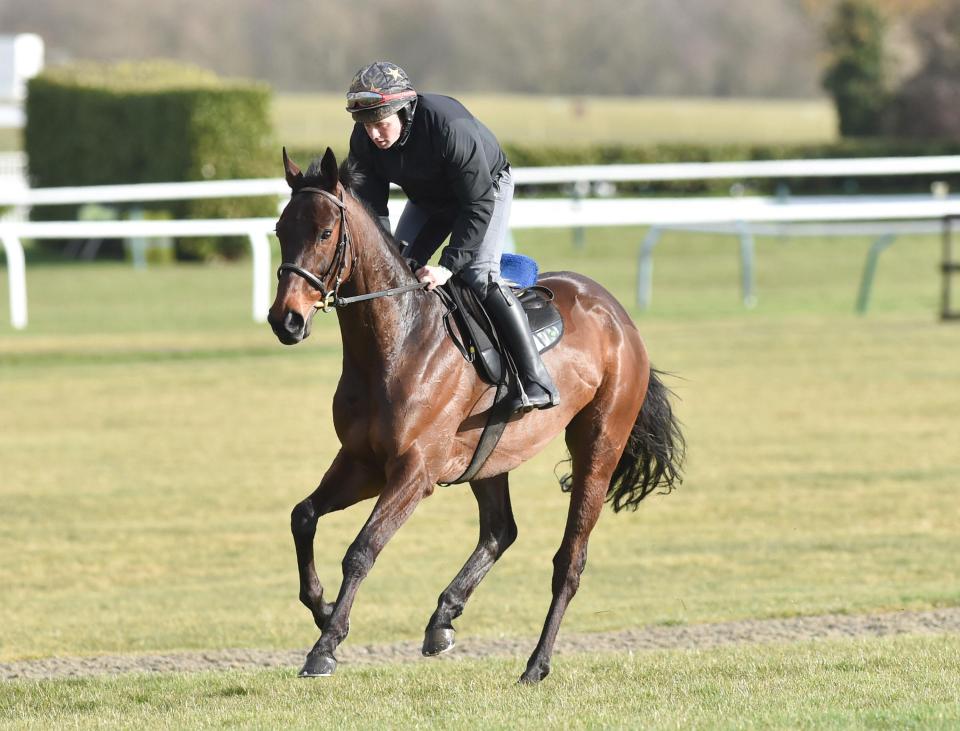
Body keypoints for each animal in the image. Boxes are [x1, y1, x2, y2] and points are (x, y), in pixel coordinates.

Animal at [266, 149, 684, 688]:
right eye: (280, 229)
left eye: (323, 233)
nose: (285, 320)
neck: (396, 342)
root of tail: (619, 317)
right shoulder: (362, 462)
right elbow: (303, 516)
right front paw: (321, 608)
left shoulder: (414, 472)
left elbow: (362, 549)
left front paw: (325, 646)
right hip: (489, 458)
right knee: (500, 531)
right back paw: (443, 617)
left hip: (600, 443)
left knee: (569, 561)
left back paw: (536, 663)